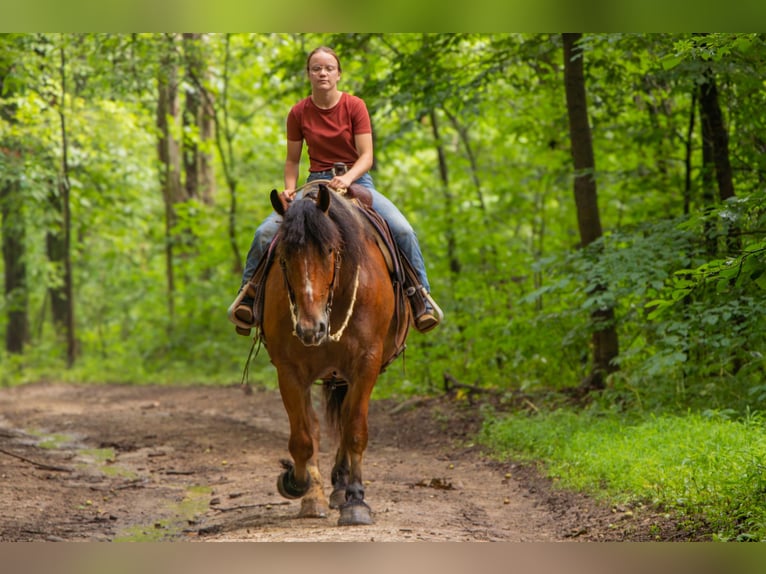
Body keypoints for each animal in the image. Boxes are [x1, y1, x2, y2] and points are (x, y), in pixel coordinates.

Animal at [262, 183, 412, 528]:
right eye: (284, 257)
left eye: (330, 251)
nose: (309, 328)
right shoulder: (289, 370)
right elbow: (304, 437)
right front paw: (298, 484)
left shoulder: (366, 363)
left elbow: (355, 430)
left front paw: (356, 501)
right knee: (318, 426)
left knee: (345, 420)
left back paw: (343, 489)